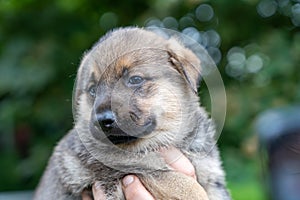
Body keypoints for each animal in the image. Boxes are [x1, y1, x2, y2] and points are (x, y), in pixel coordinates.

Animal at [34, 27, 231, 200]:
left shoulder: (212, 177)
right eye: (92, 90)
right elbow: (189, 188)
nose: (102, 120)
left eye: (135, 79)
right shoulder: (135, 171)